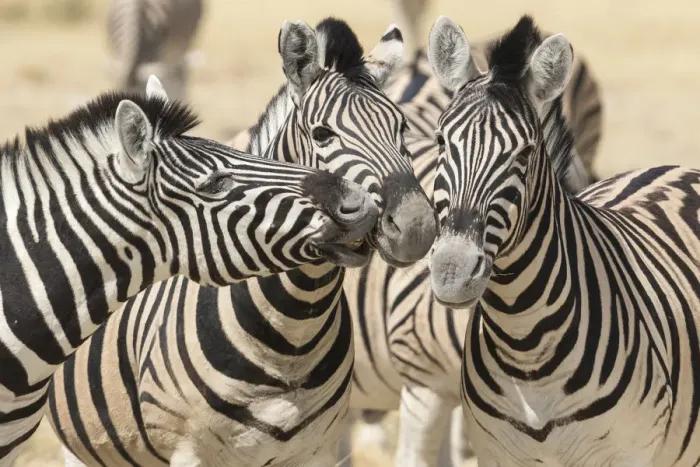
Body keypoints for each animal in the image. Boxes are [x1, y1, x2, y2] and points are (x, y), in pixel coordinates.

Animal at [47, 18, 440, 466]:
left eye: (402, 128)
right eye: (322, 134)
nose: (416, 226)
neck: (293, 336)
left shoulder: (319, 448)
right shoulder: (190, 451)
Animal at [428, 14, 700, 467]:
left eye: (523, 155)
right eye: (441, 142)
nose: (452, 270)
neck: (526, 347)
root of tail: (673, 167)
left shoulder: (630, 453)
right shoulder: (495, 453)